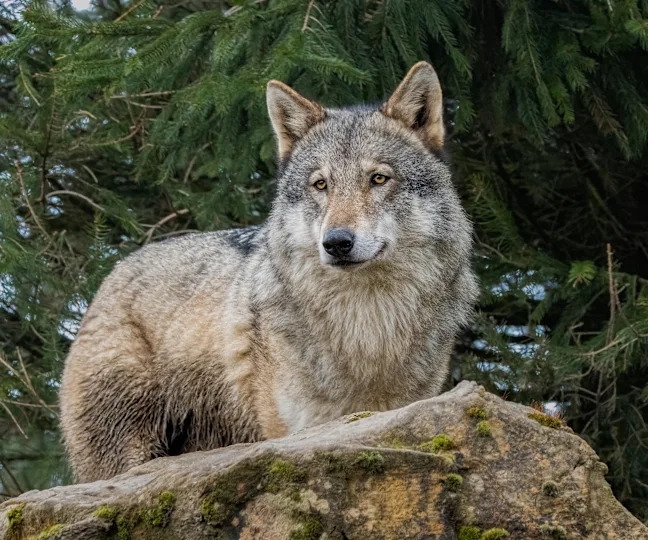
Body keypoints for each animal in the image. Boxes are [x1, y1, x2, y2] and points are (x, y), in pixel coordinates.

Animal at [60, 62, 478, 482]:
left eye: (378, 179)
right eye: (320, 185)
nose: (336, 242)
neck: (367, 327)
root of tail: (113, 273)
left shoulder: (397, 413)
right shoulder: (300, 433)